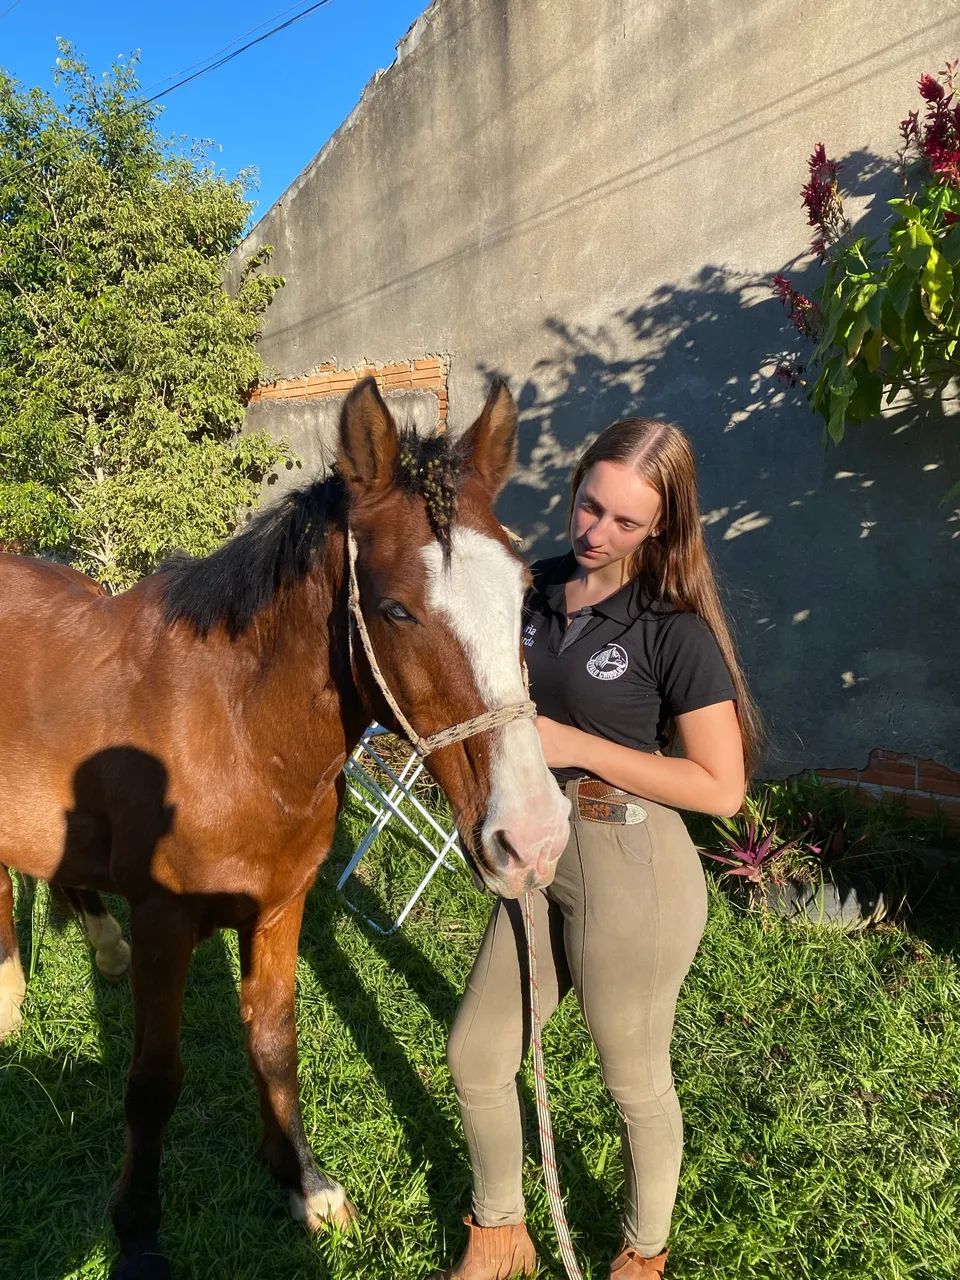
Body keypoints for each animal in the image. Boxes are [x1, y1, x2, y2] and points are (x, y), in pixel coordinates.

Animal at [0, 378, 571, 1280]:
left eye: (522, 600)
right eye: (396, 609)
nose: (534, 838)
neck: (235, 731)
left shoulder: (280, 909)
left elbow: (274, 1042)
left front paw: (303, 1184)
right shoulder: (164, 922)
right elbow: (152, 1084)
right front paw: (137, 1234)